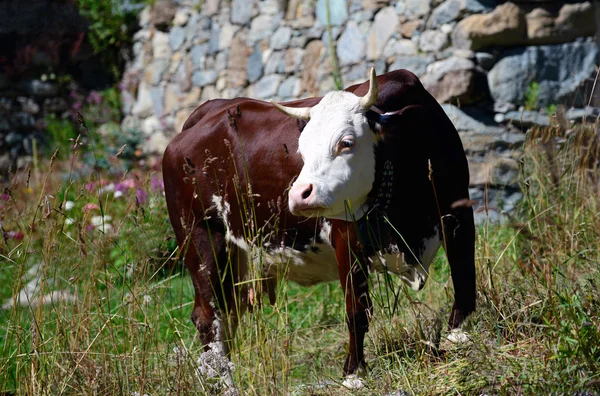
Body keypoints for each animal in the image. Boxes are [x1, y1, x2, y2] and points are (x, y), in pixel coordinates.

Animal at [162, 69, 476, 390]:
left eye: (346, 142)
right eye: (301, 147)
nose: (299, 194)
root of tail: (202, 115)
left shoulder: (458, 211)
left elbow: (463, 272)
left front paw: (459, 333)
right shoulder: (346, 240)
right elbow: (357, 310)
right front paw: (354, 373)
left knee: (227, 315)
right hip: (202, 240)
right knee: (209, 316)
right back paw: (224, 383)